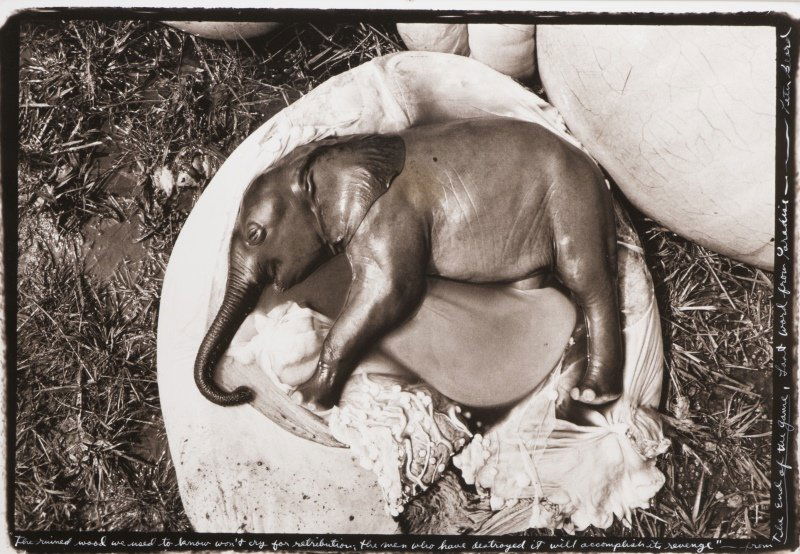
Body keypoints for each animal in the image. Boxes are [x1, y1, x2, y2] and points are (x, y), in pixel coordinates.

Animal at [194, 117, 623, 410]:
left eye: (255, 233)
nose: (244, 391)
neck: (339, 150)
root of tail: (595, 171)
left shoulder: (391, 215)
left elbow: (391, 291)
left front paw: (304, 398)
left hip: (572, 200)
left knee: (586, 279)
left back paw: (593, 394)